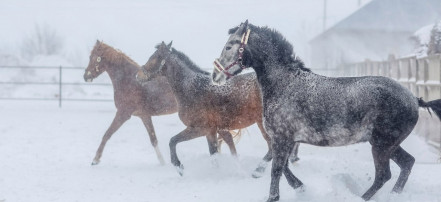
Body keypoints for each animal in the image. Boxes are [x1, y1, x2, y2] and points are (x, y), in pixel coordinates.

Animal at [83, 41, 241, 166]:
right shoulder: (144, 116)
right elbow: (153, 139)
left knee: (227, 138)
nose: (86, 76)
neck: (129, 80)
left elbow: (107, 134)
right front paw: (163, 162)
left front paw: (95, 160)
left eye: (94, 57)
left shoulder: (123, 114)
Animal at [135, 41, 300, 176]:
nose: (138, 75)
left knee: (273, 148)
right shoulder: (211, 131)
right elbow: (214, 153)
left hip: (263, 124)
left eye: (155, 57)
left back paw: (258, 171)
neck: (191, 89)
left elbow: (173, 141)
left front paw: (179, 167)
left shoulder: (199, 128)